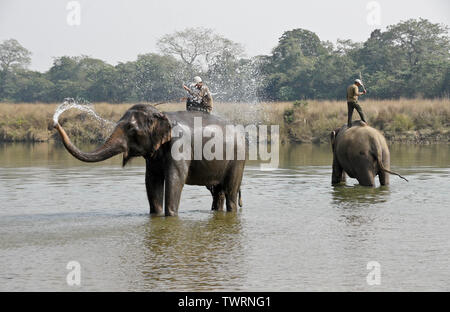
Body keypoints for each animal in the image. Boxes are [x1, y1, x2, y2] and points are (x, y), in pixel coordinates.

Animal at [55, 103, 246, 216]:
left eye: (131, 129)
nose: (55, 123)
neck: (161, 114)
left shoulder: (180, 145)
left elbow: (175, 179)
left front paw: (171, 216)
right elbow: (151, 181)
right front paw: (155, 215)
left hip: (237, 159)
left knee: (230, 193)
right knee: (218, 193)